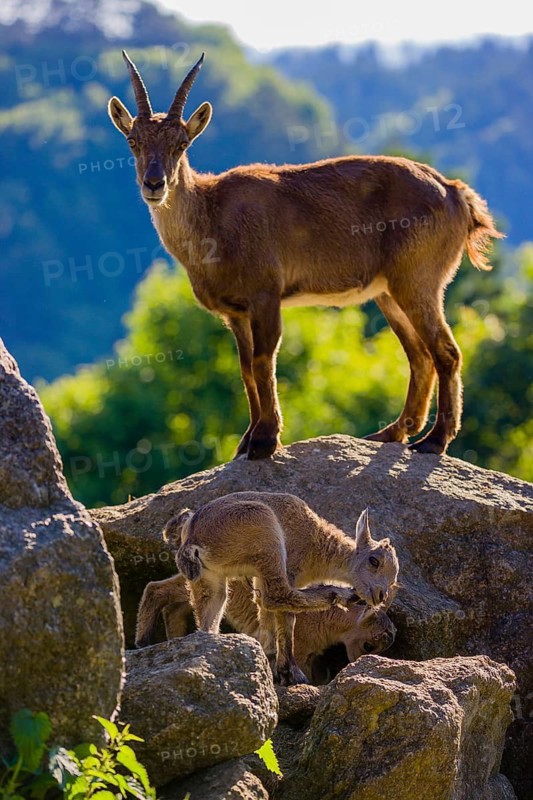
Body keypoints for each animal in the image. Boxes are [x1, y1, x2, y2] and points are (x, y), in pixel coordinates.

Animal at [108, 52, 503, 458]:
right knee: (420, 355)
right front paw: (246, 441)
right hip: (389, 292)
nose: (154, 184)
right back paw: (389, 433)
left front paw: (266, 441)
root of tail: (456, 193)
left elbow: (264, 361)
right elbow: (245, 368)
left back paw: (434, 440)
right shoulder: (236, 312)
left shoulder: (266, 294)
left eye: (182, 143)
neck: (212, 217)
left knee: (446, 351)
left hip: (418, 279)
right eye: (133, 141)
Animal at [135, 573, 396, 682]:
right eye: (369, 645)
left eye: (384, 648)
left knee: (173, 607)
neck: (324, 618)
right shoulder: (299, 650)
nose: (357, 663)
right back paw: (142, 640)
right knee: (155, 588)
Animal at [161, 491, 399, 685]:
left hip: (211, 578)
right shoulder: (288, 572)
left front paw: (272, 661)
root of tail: (193, 539)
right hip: (267, 536)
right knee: (277, 596)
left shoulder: (259, 577)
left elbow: (265, 615)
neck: (315, 545)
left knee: (210, 614)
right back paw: (340, 595)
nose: (380, 595)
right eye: (374, 561)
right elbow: (286, 617)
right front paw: (289, 672)